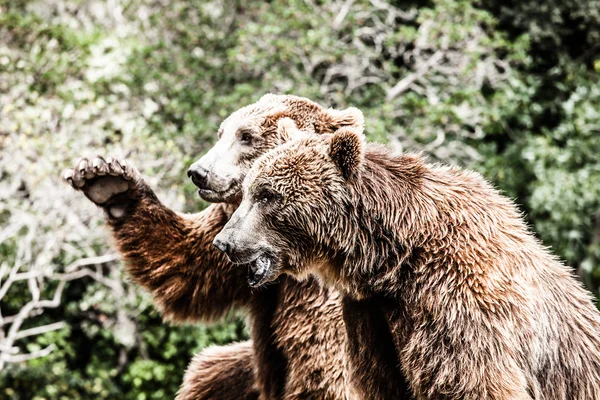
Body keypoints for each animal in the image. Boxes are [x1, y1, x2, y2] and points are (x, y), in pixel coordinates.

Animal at [63, 95, 414, 398]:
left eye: (246, 136)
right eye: (222, 132)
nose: (198, 173)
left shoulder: (321, 300)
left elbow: (321, 368)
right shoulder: (234, 230)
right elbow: (187, 268)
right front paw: (108, 180)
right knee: (207, 376)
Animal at [214, 123, 600, 398]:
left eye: (268, 195)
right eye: (249, 191)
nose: (225, 242)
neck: (393, 261)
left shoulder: (461, 305)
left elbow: (471, 382)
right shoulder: (372, 315)